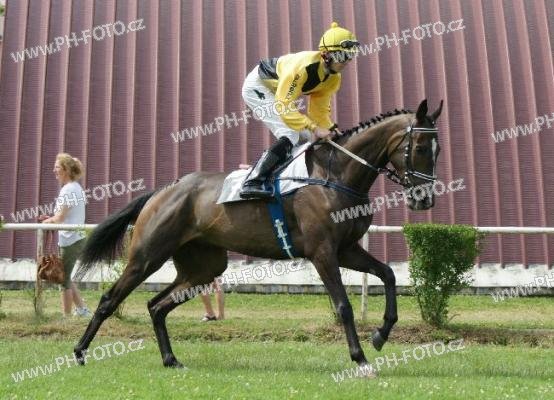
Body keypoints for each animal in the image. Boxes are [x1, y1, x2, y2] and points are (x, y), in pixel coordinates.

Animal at [74, 99, 443, 375]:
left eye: (437, 150)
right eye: (420, 147)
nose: (424, 199)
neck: (336, 175)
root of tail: (164, 190)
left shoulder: (347, 249)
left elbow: (389, 274)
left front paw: (381, 334)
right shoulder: (322, 252)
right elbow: (343, 306)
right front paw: (361, 359)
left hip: (204, 266)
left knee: (157, 306)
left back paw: (170, 359)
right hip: (147, 255)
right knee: (110, 299)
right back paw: (79, 352)